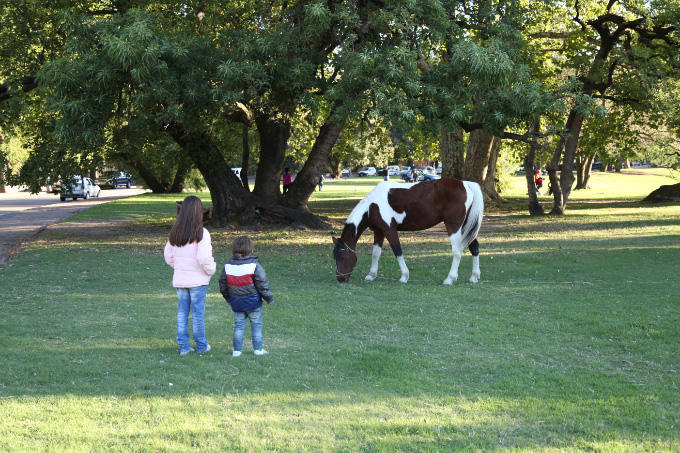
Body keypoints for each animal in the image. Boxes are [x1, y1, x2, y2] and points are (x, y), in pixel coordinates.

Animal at [334, 178, 484, 284]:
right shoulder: (379, 232)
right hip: (466, 227)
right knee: (474, 247)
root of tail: (465, 184)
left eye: (341, 256)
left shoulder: (389, 230)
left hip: (454, 227)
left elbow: (397, 251)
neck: (372, 207)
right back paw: (474, 277)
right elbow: (376, 254)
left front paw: (404, 277)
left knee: (457, 251)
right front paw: (371, 275)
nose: (340, 279)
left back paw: (449, 279)